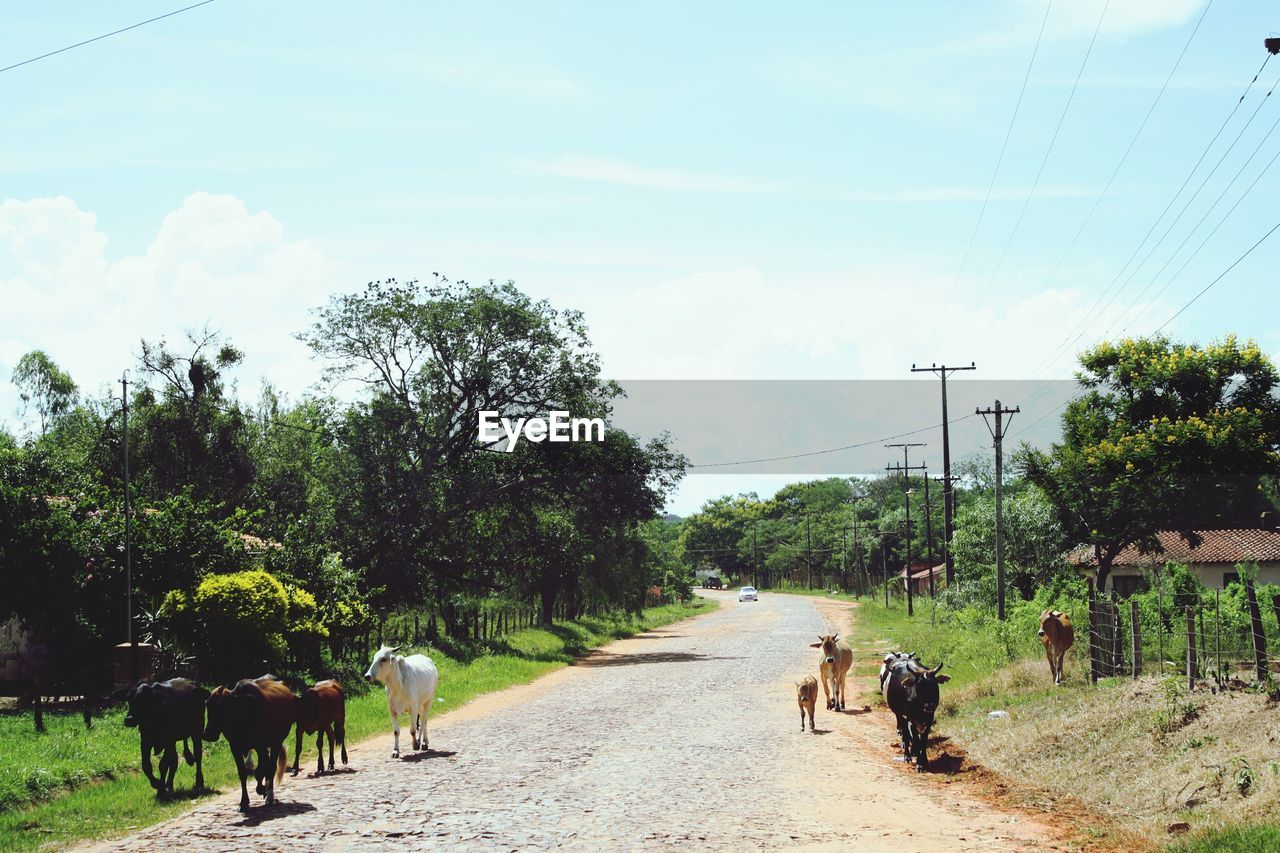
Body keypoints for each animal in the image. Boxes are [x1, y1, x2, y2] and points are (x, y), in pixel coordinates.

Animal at [202, 676, 294, 809]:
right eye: (208, 705)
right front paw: (244, 802)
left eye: (222, 707)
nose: (207, 734)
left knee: (271, 767)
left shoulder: (260, 746)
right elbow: (242, 773)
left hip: (276, 742)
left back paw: (269, 795)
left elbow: (260, 771)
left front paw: (261, 789)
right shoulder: (235, 747)